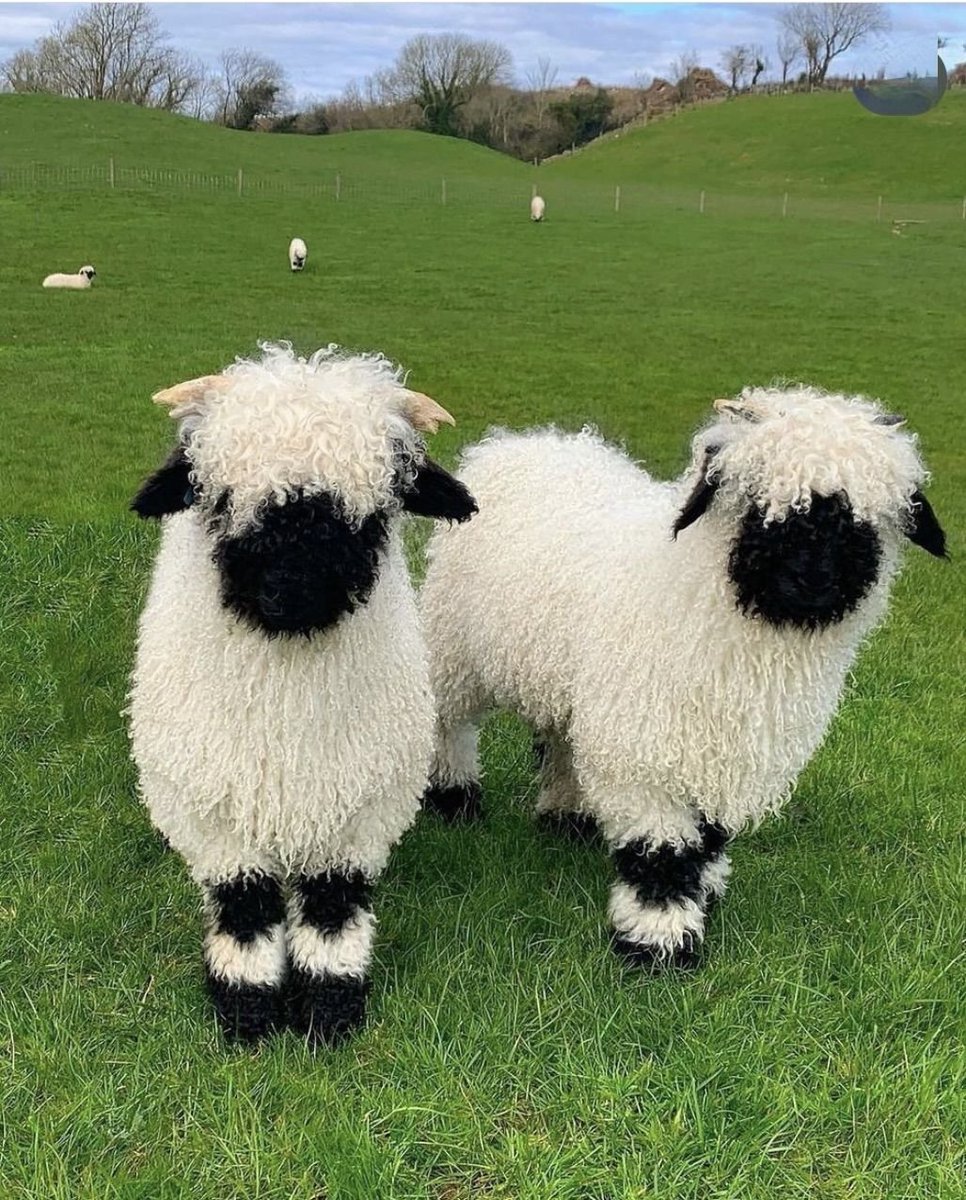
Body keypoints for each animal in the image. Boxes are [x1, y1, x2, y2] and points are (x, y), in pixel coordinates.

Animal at [128, 342, 477, 1045]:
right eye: (219, 501)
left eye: (374, 514)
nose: (289, 594)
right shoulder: (218, 817)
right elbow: (244, 906)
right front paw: (247, 1011)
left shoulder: (359, 811)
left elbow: (331, 908)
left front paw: (329, 1009)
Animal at [419, 386, 947, 971]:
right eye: (757, 504)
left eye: (861, 519)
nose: (812, 579)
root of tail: (529, 441)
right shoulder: (647, 751)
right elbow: (662, 853)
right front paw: (659, 942)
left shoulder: (716, 751)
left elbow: (708, 836)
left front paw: (706, 889)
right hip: (455, 651)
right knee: (451, 725)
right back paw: (455, 799)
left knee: (563, 739)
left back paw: (567, 814)